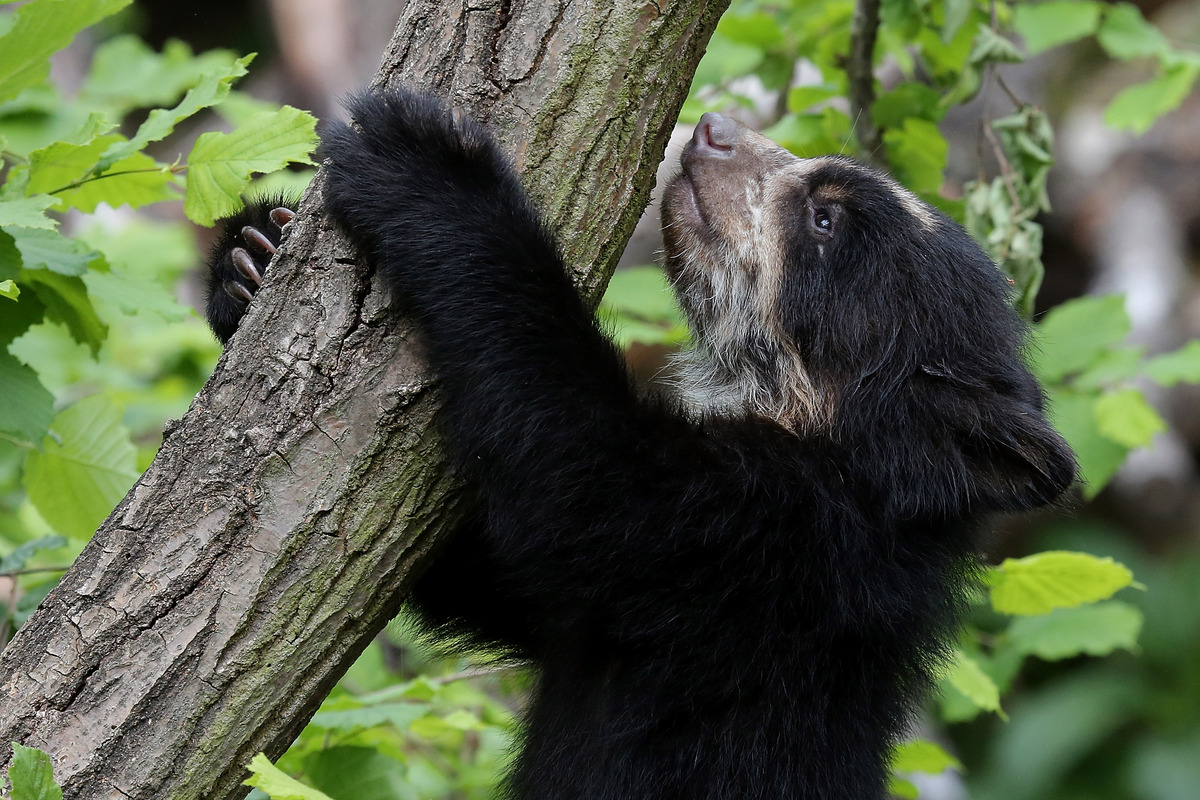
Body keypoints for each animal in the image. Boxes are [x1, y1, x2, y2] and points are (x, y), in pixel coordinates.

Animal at [201, 89, 1075, 800]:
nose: (713, 128)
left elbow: (578, 475)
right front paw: (251, 254)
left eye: (824, 218)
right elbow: (472, 574)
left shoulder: (765, 546)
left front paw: (425, 160)